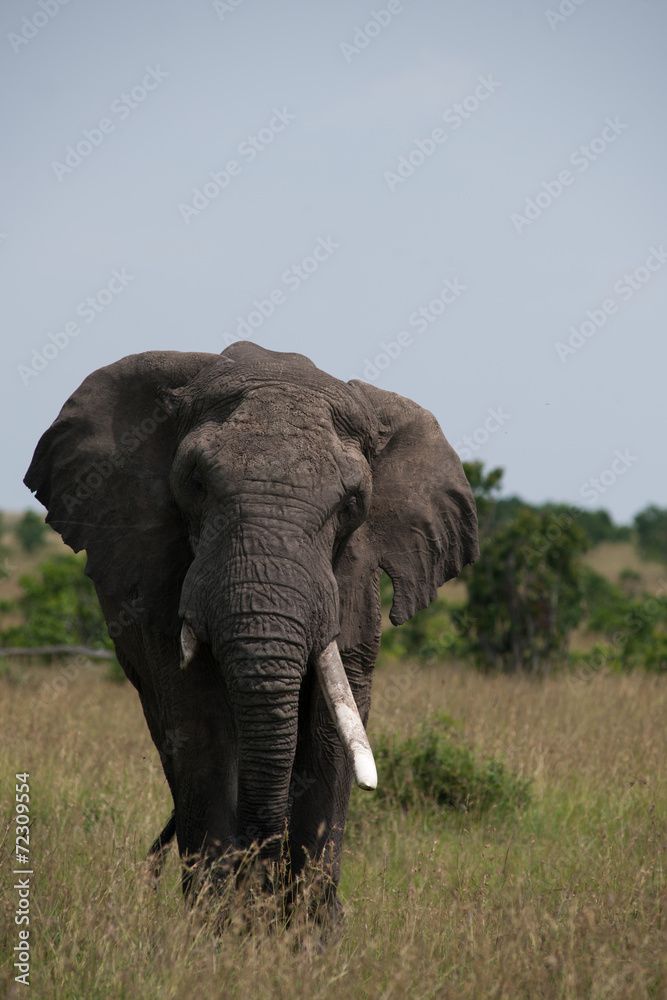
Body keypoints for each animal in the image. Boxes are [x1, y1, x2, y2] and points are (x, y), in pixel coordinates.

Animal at [25, 341, 478, 918]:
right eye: (196, 484)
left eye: (352, 504)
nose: (259, 872)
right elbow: (200, 727)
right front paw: (221, 926)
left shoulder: (353, 585)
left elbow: (332, 734)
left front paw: (307, 931)